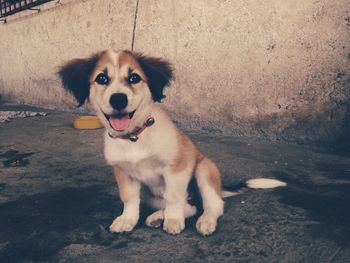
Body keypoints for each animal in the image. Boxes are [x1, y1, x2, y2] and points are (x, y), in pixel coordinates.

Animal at [58, 50, 288, 237]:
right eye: (102, 78)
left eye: (134, 78)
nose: (118, 99)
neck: (135, 138)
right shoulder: (123, 172)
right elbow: (129, 199)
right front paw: (127, 220)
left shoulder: (178, 166)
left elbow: (174, 196)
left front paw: (174, 219)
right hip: (151, 195)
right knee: (190, 206)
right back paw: (158, 216)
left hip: (204, 169)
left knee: (212, 204)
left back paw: (203, 221)